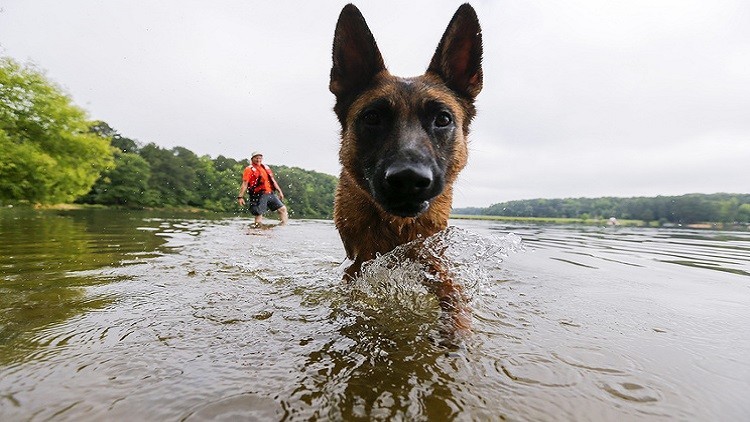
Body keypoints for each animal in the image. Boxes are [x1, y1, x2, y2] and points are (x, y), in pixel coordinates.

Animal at [332, 4, 484, 330]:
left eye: (443, 119)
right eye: (372, 117)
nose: (409, 179)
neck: (396, 226)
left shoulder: (430, 254)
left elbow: (452, 294)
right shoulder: (357, 264)